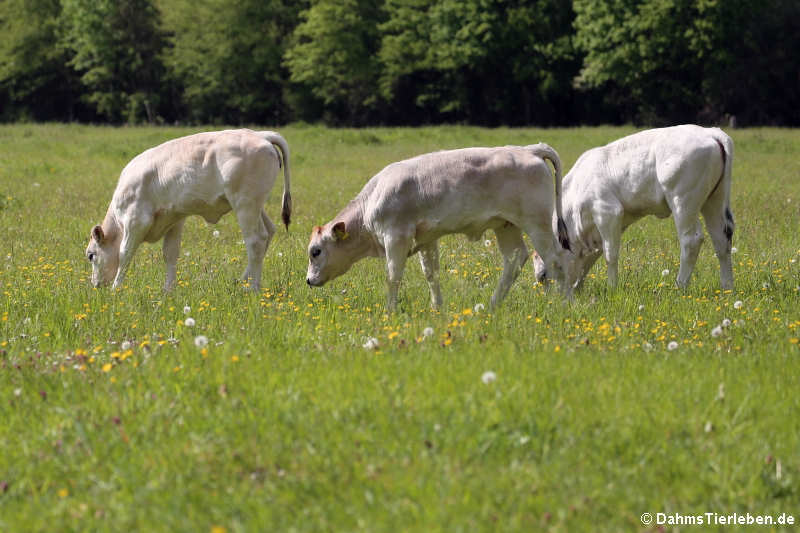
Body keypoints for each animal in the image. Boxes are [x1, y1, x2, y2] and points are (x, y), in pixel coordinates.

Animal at [86, 129, 292, 290]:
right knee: (269, 232)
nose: (95, 284)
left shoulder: (135, 221)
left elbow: (125, 254)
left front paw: (116, 288)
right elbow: (170, 254)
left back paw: (251, 288)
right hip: (256, 206)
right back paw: (242, 280)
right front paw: (167, 291)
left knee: (256, 241)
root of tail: (260, 135)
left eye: (91, 255)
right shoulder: (175, 219)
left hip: (245, 205)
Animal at [536, 124, 736, 290]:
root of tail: (710, 132)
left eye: (543, 276)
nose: (558, 298)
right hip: (714, 201)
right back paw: (727, 288)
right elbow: (595, 255)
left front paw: (612, 288)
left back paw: (680, 286)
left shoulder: (608, 212)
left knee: (691, 240)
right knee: (721, 240)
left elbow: (610, 254)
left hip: (683, 203)